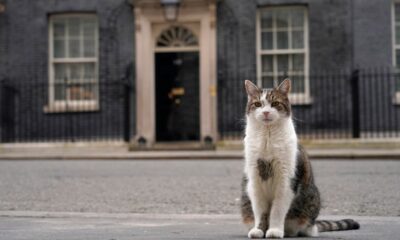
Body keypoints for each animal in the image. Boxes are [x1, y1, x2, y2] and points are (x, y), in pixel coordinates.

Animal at [241, 79, 360, 238]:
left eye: (275, 103)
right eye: (258, 104)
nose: (266, 112)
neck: (268, 137)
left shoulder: (286, 180)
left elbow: (277, 210)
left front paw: (275, 230)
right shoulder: (255, 180)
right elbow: (260, 211)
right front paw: (259, 230)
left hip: (311, 201)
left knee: (303, 228)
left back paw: (290, 231)